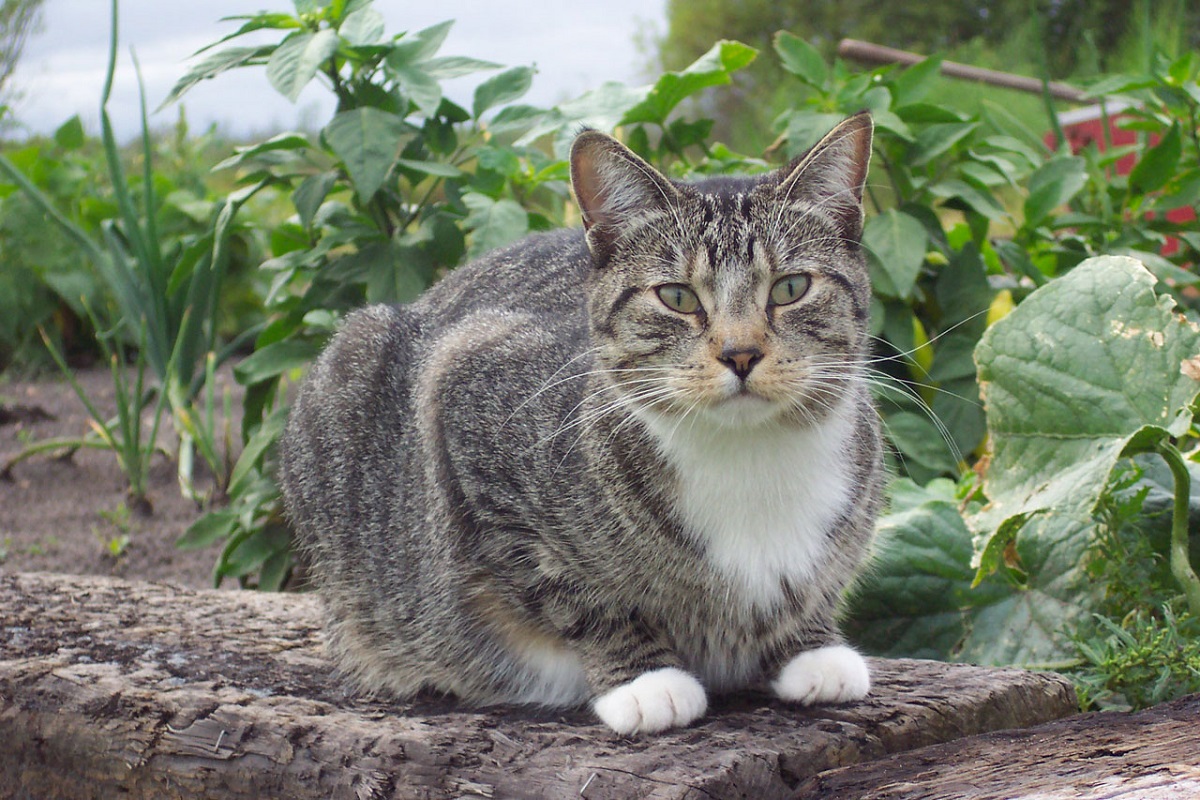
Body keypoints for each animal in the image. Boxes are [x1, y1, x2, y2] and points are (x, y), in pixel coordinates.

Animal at [278, 112, 883, 738]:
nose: (740, 354)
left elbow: (817, 589)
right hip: (351, 359)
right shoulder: (464, 392)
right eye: (677, 296)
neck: (747, 457)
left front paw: (811, 648)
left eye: (790, 287)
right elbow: (577, 594)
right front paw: (645, 681)